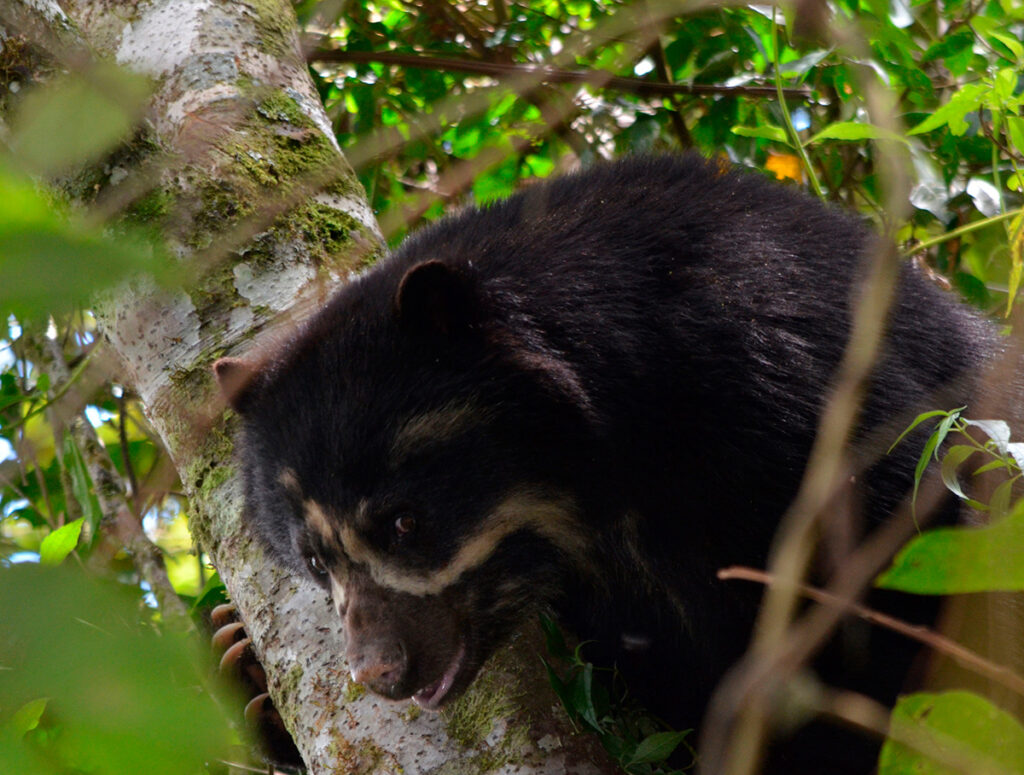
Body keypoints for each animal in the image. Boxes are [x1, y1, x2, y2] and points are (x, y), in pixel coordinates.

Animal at [214, 154, 996, 773]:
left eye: (406, 522)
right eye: (316, 561)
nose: (382, 672)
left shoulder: (803, 396)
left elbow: (900, 566)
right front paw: (242, 664)